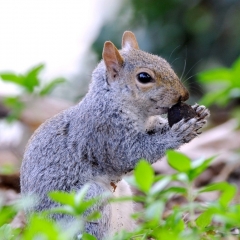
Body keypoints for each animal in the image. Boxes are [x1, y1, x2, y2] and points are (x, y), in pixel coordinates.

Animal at [19, 31, 209, 239]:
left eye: (164, 61)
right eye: (144, 77)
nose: (184, 95)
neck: (114, 101)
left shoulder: (147, 125)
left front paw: (200, 112)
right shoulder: (106, 134)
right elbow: (131, 154)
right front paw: (178, 133)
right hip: (85, 201)